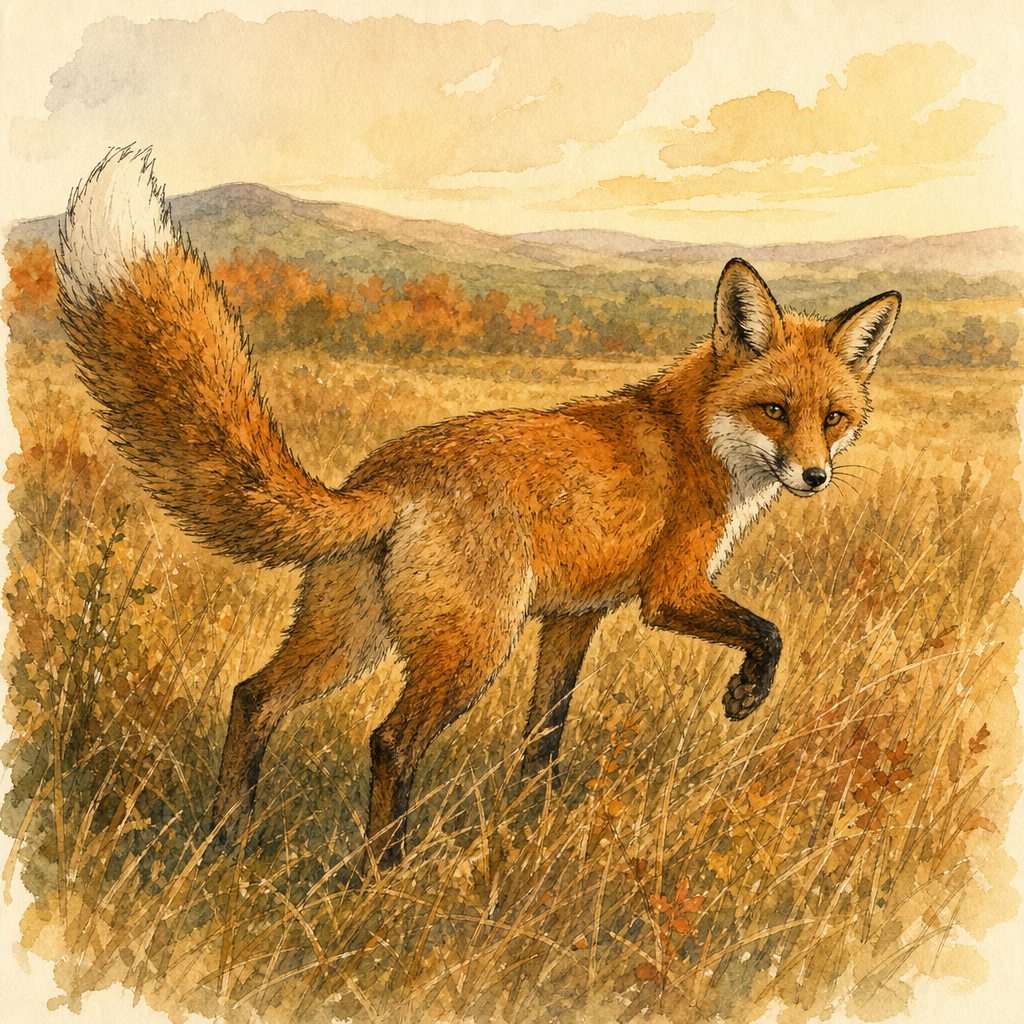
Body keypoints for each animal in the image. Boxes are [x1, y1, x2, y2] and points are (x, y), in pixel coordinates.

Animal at [55, 147, 900, 866]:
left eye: (834, 417)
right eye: (774, 410)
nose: (815, 477)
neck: (696, 438)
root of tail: (385, 477)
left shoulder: (574, 617)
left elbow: (543, 734)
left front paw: (534, 820)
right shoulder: (670, 592)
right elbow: (769, 632)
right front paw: (746, 696)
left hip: (353, 635)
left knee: (253, 696)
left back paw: (228, 840)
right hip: (471, 645)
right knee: (390, 740)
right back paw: (382, 877)